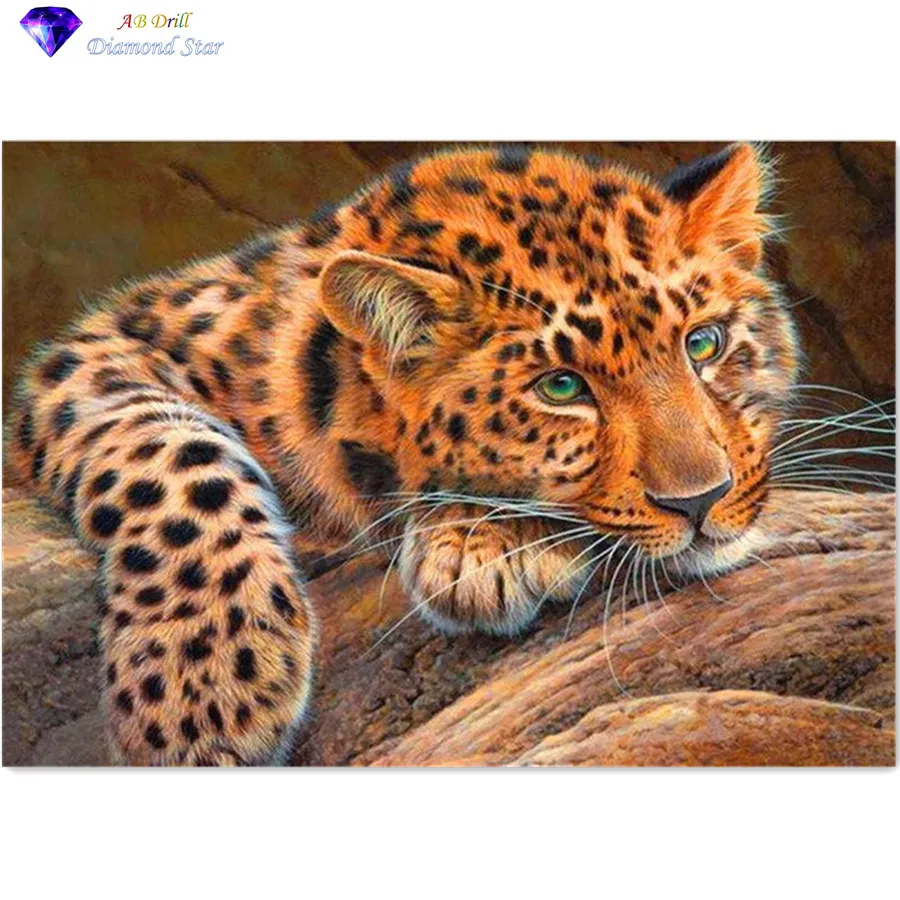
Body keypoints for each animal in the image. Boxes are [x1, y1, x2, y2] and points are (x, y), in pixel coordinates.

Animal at [6, 142, 799, 765]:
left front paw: (482, 542)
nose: (701, 500)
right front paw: (204, 683)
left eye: (704, 344)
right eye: (561, 387)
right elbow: (171, 454)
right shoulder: (96, 352)